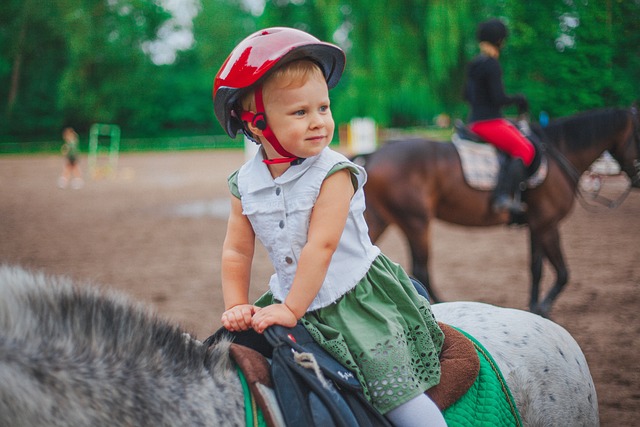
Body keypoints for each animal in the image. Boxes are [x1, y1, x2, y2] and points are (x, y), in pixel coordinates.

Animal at [360, 106, 640, 318]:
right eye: (637, 137)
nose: (637, 180)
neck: (559, 154)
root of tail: (374, 155)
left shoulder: (537, 225)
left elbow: (537, 268)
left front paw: (534, 306)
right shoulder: (547, 224)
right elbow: (562, 273)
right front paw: (543, 307)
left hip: (381, 219)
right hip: (416, 223)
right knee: (421, 270)